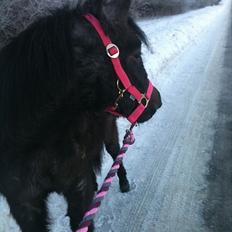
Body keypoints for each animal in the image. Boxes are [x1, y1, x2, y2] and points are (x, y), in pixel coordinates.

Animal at [0, 0, 161, 231]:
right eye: (137, 55)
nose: (157, 101)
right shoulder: (25, 206)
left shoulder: (77, 188)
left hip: (110, 134)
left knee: (116, 155)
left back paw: (123, 183)